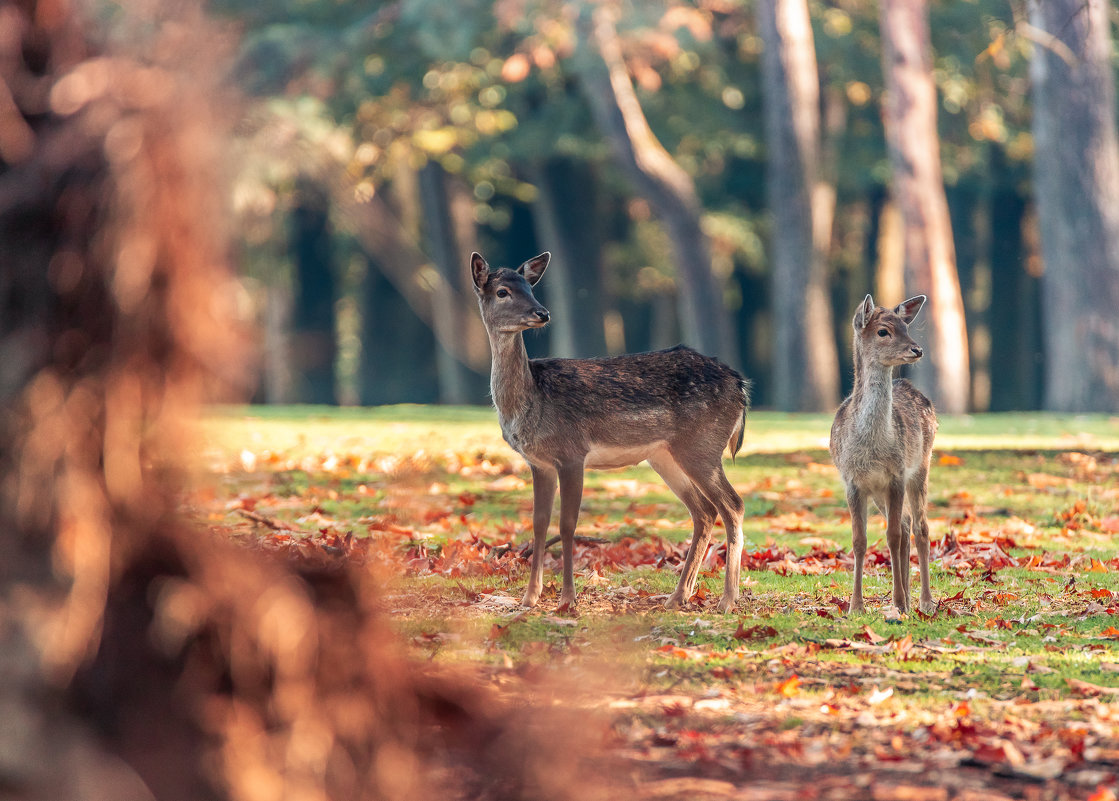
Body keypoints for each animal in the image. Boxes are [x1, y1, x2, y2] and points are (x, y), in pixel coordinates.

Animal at [472, 251, 751, 613]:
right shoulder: (539, 462)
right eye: (503, 291)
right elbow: (538, 523)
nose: (542, 313)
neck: (529, 400)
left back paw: (727, 600)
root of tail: (741, 386)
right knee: (704, 511)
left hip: (702, 446)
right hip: (665, 456)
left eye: (529, 288)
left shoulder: (571, 452)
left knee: (733, 505)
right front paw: (529, 597)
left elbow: (567, 525)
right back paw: (677, 596)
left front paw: (567, 599)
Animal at [828, 297, 939, 617]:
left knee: (920, 527)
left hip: (922, 466)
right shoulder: (853, 482)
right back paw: (906, 599)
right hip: (878, 491)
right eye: (883, 331)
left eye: (906, 326)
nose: (917, 350)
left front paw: (900, 603)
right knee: (905, 522)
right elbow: (859, 540)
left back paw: (923, 602)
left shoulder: (897, 475)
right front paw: (856, 606)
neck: (871, 449)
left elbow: (892, 536)